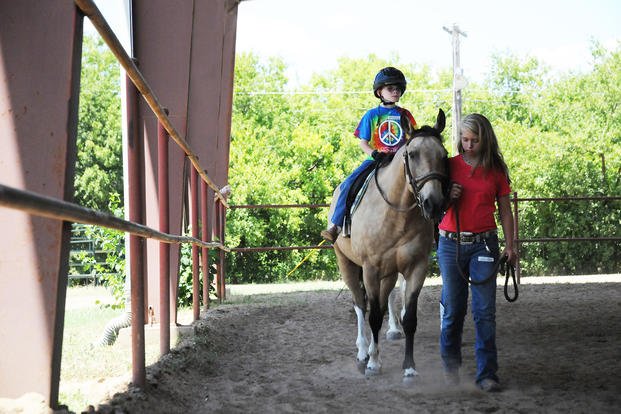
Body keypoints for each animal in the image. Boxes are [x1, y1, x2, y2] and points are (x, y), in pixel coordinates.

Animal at [330, 108, 446, 380]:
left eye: (444, 155)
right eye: (412, 154)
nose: (433, 203)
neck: (396, 214)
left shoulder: (416, 268)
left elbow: (409, 317)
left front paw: (409, 367)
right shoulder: (370, 270)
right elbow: (372, 316)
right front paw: (373, 363)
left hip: (389, 273)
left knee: (383, 303)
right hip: (347, 265)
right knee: (360, 306)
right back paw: (363, 351)